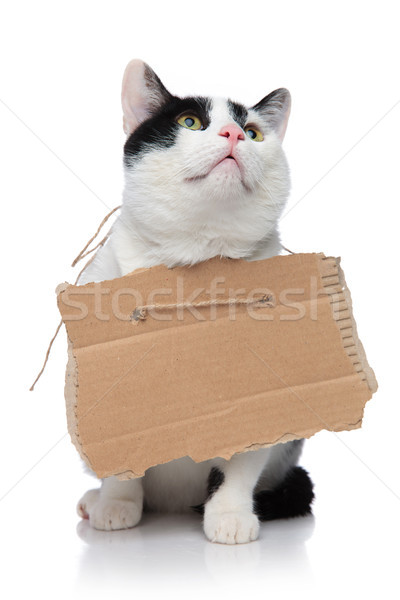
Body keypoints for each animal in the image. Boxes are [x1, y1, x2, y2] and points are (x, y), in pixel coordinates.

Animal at [74, 59, 312, 544]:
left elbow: (239, 465)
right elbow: (119, 458)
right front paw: (117, 506)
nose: (234, 134)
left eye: (254, 132)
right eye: (190, 123)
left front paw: (230, 517)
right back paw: (97, 502)